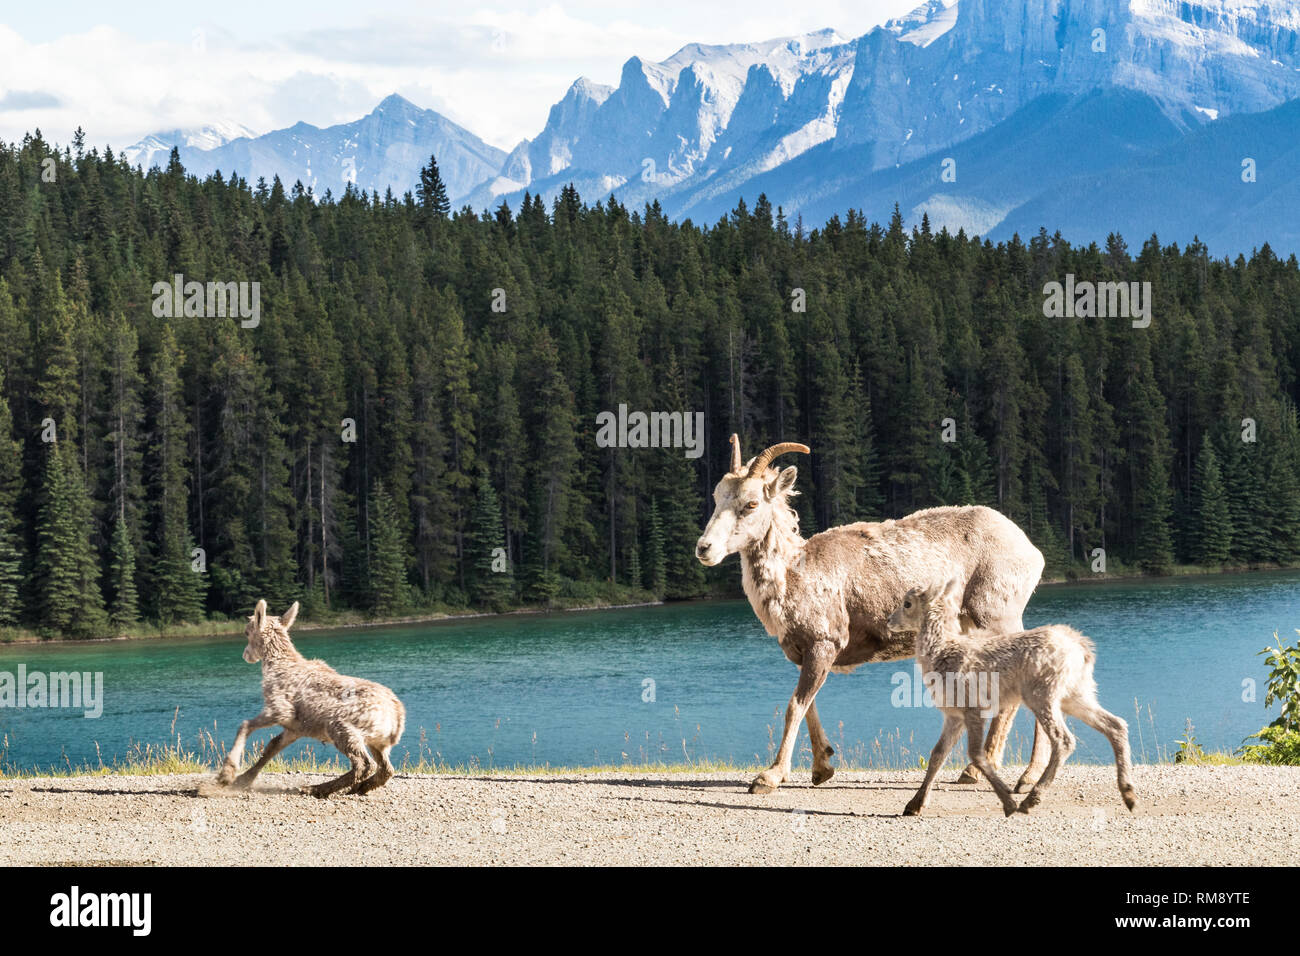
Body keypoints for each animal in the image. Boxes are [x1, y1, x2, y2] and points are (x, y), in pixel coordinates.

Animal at [215, 599, 406, 798]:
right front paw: (242, 780)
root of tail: (396, 717)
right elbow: (271, 747)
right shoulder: (294, 728)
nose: (245, 655)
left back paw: (315, 789)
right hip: (377, 742)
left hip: (342, 729)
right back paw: (358, 788)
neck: (277, 666)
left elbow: (245, 726)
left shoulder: (280, 710)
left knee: (364, 765)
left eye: (246, 632)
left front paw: (227, 775)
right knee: (386, 769)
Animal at [696, 434, 1048, 795]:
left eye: (751, 504)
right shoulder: (804, 653)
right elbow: (809, 707)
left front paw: (769, 777)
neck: (793, 574)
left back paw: (996, 775)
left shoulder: (824, 644)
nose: (704, 549)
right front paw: (822, 769)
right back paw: (1007, 774)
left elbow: (795, 707)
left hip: (995, 620)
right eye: (717, 497)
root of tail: (1032, 553)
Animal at [888, 577, 1136, 816]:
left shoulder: (973, 708)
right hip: (1076, 694)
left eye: (907, 603)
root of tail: (1083, 650)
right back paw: (1129, 795)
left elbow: (976, 754)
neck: (943, 652)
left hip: (1042, 695)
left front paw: (1008, 802)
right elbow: (937, 754)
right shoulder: (954, 716)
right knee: (1116, 724)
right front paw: (913, 806)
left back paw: (1031, 799)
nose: (889, 621)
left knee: (1064, 740)